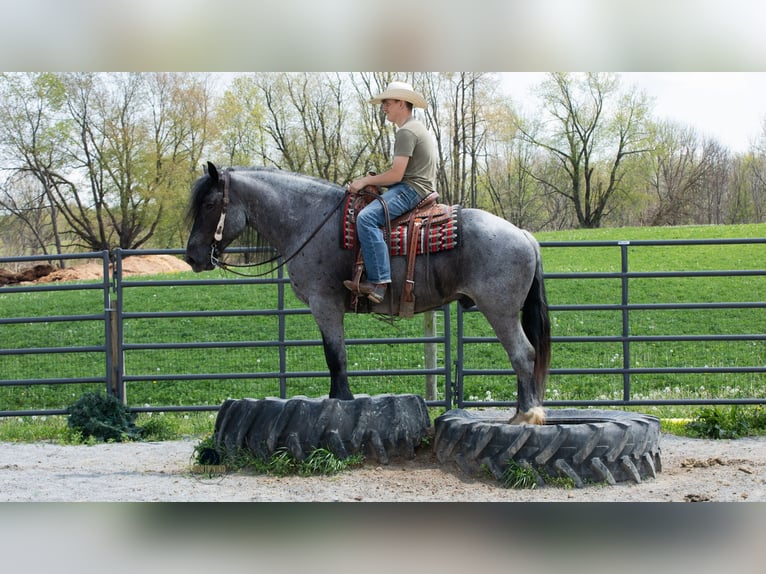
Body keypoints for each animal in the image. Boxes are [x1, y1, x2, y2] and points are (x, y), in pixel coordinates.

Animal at [185, 162, 551, 424]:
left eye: (211, 203)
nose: (192, 256)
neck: (308, 220)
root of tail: (523, 234)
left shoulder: (324, 304)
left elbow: (336, 355)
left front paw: (341, 399)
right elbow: (333, 354)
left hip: (500, 311)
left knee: (523, 354)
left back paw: (527, 416)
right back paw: (520, 413)